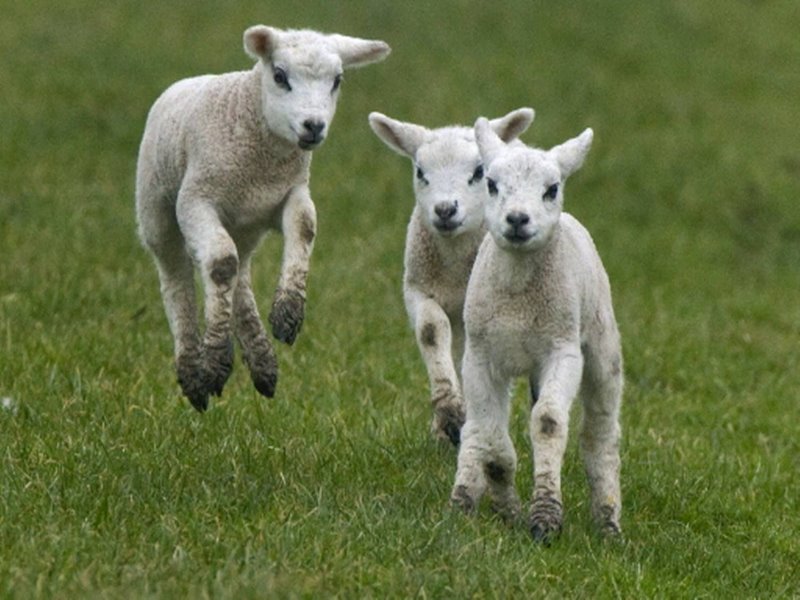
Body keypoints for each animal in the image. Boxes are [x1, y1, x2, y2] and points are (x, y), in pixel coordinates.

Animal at [137, 25, 390, 410]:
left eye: (337, 80)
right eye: (280, 76)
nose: (313, 126)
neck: (263, 164)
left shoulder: (291, 191)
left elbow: (304, 227)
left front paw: (288, 313)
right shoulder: (195, 200)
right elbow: (220, 263)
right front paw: (213, 359)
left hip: (246, 227)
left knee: (239, 275)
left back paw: (260, 359)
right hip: (157, 212)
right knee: (178, 278)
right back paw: (194, 370)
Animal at [370, 108, 536, 446]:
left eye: (479, 172)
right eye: (420, 171)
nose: (445, 210)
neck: (457, 266)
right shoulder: (417, 289)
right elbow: (431, 330)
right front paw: (448, 413)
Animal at [450, 115, 624, 540]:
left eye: (552, 189)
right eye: (491, 184)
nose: (517, 219)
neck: (517, 295)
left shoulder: (562, 351)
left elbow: (547, 422)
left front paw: (545, 518)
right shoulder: (479, 356)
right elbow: (486, 429)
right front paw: (499, 498)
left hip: (601, 344)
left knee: (600, 434)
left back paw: (608, 523)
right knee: (478, 427)